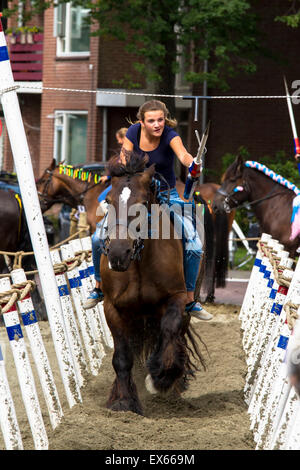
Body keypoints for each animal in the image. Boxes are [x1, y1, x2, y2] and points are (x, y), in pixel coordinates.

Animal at [99, 152, 205, 414]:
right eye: (108, 200)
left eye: (142, 201)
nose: (118, 254)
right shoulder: (112, 307)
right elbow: (122, 355)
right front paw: (122, 401)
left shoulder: (176, 299)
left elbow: (169, 331)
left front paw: (162, 377)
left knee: (176, 337)